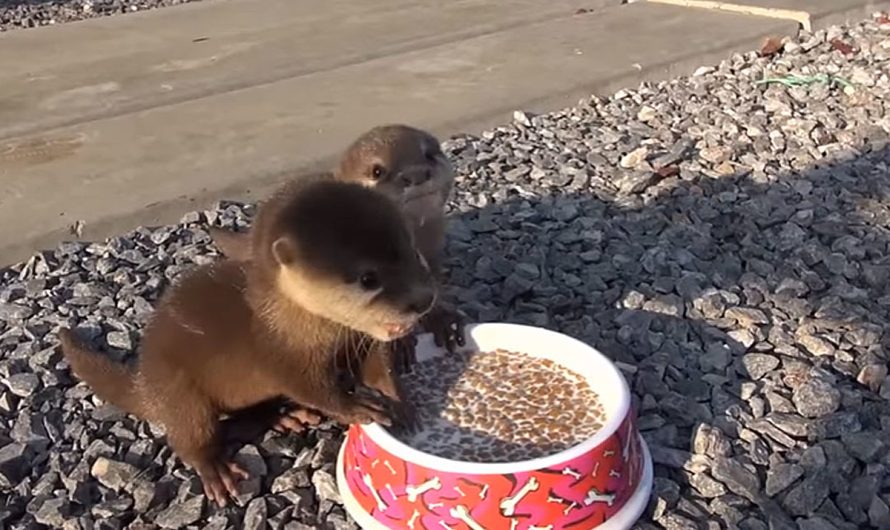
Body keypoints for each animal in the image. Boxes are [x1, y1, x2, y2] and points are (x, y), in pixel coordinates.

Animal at [58, 175, 434, 506]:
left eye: (413, 251)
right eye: (368, 278)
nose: (423, 300)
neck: (299, 326)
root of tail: (144, 379)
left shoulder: (359, 340)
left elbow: (377, 369)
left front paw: (400, 402)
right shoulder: (281, 356)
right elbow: (315, 389)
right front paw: (359, 406)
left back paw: (284, 416)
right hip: (177, 389)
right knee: (189, 433)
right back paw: (216, 470)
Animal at [208, 124, 464, 364]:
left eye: (429, 154)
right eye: (377, 170)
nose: (416, 174)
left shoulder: (433, 255)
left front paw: (444, 320)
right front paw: (400, 345)